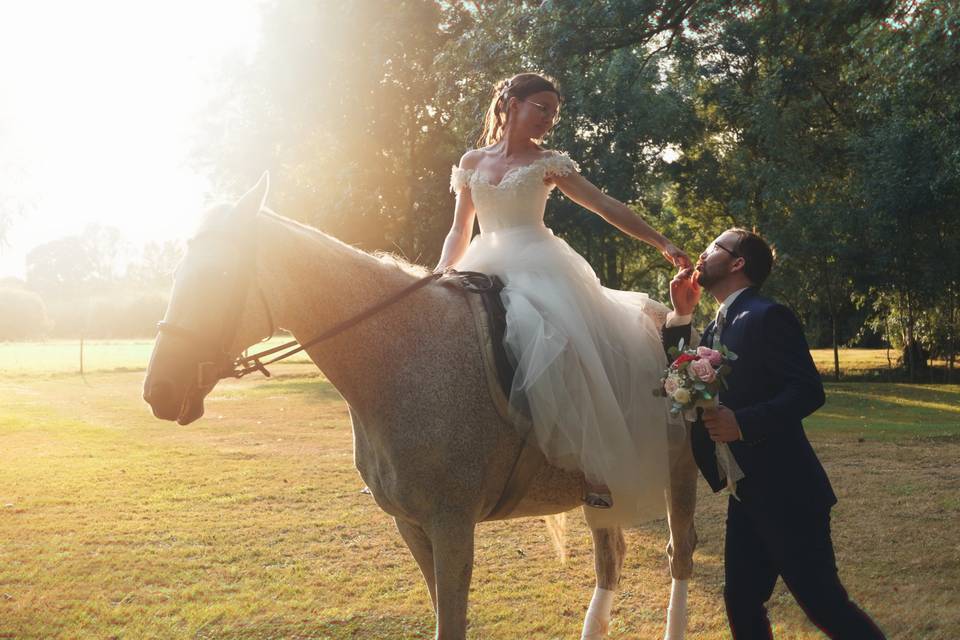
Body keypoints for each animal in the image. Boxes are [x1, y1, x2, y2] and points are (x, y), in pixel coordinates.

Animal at [142, 176, 696, 640]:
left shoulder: (451, 526)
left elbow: (450, 621)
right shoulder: (410, 525)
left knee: (680, 554)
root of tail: (669, 325)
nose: (158, 391)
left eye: (220, 273)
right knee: (611, 558)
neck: (405, 353)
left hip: (678, 469)